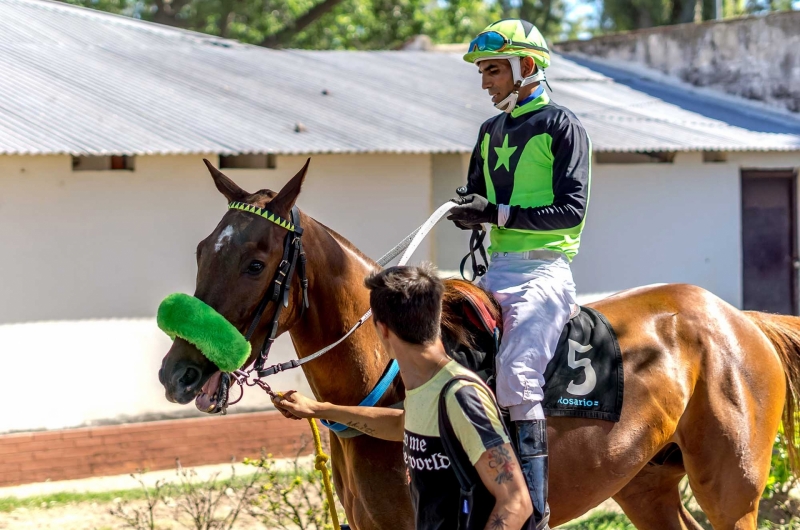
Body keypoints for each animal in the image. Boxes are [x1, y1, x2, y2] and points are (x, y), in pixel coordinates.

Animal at [159, 161, 800, 528]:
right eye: (200, 250)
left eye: (256, 263)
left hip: (733, 492)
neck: (392, 378)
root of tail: (737, 318)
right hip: (644, 483)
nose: (177, 373)